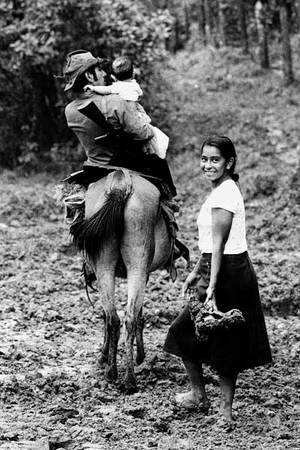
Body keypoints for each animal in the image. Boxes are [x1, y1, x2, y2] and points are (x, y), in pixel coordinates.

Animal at [70, 167, 173, 392]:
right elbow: (138, 313)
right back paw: (127, 378)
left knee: (114, 318)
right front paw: (137, 356)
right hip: (135, 266)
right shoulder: (145, 273)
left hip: (107, 266)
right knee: (125, 318)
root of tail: (121, 184)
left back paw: (115, 373)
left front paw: (105, 355)